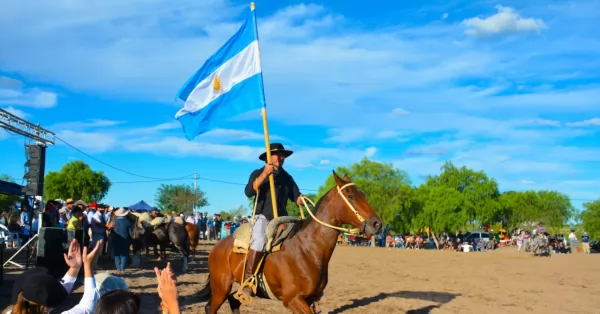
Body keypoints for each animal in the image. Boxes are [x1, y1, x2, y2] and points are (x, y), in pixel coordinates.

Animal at [199, 172, 382, 314]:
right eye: (350, 196)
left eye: (363, 195)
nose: (377, 223)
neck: (307, 250)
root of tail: (217, 247)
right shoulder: (293, 299)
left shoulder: (309, 299)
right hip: (220, 287)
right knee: (211, 307)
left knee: (233, 300)